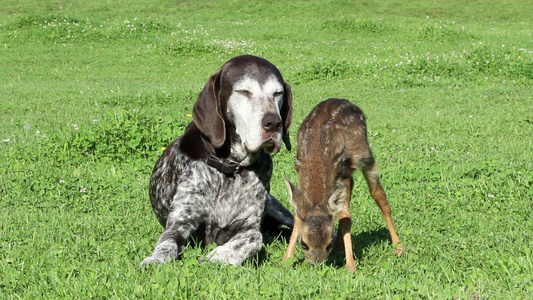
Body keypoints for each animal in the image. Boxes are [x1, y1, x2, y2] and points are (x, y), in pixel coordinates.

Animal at [140, 55, 296, 266]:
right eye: (243, 91)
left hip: (276, 208)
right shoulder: (179, 223)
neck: (230, 168)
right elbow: (167, 243)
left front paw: (218, 256)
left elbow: (255, 238)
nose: (273, 123)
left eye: (277, 93)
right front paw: (155, 259)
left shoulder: (248, 226)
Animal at [282, 98, 400, 272]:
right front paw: (286, 260)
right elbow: (298, 215)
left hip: (364, 155)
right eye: (304, 244)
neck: (317, 157)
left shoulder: (343, 171)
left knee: (379, 195)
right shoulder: (300, 170)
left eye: (327, 244)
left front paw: (351, 266)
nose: (317, 264)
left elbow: (345, 217)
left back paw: (399, 247)